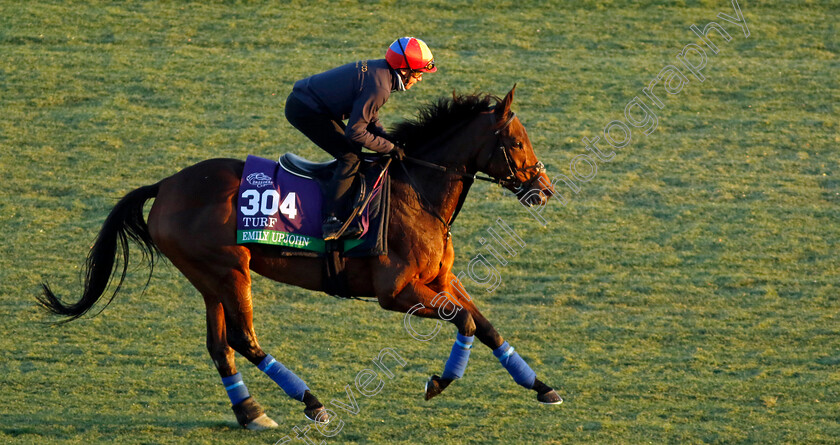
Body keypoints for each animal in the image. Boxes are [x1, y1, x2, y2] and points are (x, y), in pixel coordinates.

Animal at [39, 85, 564, 428]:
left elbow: (487, 325)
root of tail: (166, 185)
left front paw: (542, 387)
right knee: (244, 339)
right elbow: (468, 322)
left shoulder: (439, 279)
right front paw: (439, 382)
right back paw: (311, 402)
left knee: (220, 345)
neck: (419, 190)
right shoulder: (396, 292)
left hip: (208, 277)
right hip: (229, 270)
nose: (544, 189)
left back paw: (250, 412)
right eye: (517, 142)